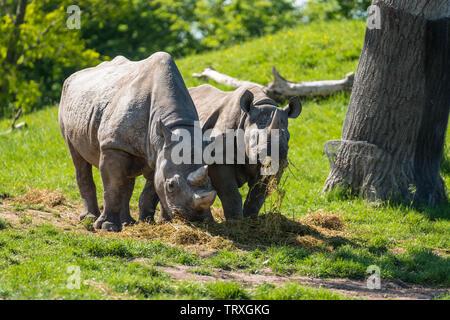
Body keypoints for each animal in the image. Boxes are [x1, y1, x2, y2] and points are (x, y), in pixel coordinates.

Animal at [59, 51, 217, 231]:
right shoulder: (113, 145)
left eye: (211, 183)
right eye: (171, 185)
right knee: (78, 159)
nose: (195, 219)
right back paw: (90, 219)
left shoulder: (158, 152)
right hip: (67, 102)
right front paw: (107, 227)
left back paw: (127, 222)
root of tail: (74, 75)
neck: (175, 126)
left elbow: (152, 189)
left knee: (127, 177)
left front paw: (151, 222)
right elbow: (112, 187)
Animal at [188, 84, 300, 219]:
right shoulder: (218, 158)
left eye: (287, 137)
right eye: (254, 138)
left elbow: (258, 195)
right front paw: (235, 220)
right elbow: (230, 192)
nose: (272, 153)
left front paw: (250, 218)